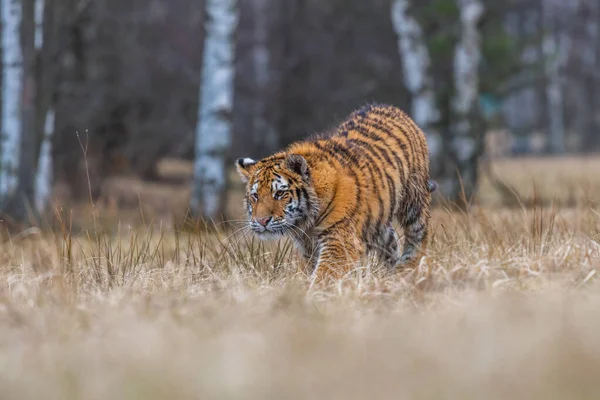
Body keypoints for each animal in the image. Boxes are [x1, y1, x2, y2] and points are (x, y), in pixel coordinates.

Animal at [234, 102, 436, 282]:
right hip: (377, 221)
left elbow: (325, 274)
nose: (262, 221)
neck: (306, 222)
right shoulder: (308, 247)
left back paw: (405, 271)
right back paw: (388, 274)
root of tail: (390, 107)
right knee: (391, 242)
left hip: (414, 200)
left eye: (279, 194)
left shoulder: (339, 240)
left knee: (418, 236)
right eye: (255, 196)